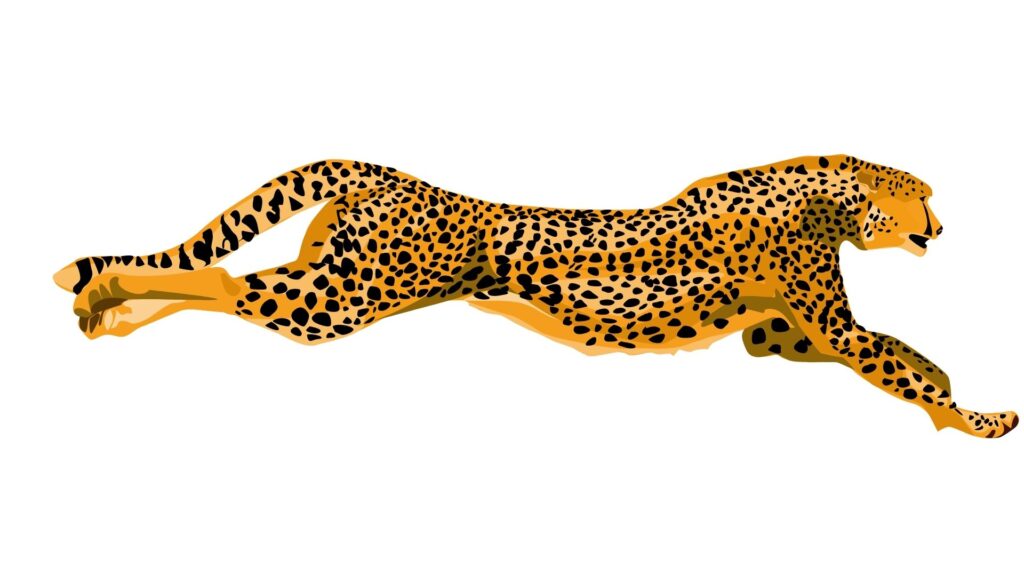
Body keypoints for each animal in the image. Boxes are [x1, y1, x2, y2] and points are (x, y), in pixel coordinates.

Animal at [54, 155, 1017, 438]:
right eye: (924, 199)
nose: (942, 226)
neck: (837, 190)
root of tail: (387, 171)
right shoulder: (823, 324)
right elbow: (895, 362)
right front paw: (978, 419)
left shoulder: (774, 334)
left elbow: (899, 351)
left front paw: (952, 385)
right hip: (347, 296)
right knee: (220, 277)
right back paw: (103, 290)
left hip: (332, 279)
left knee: (225, 282)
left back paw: (107, 305)